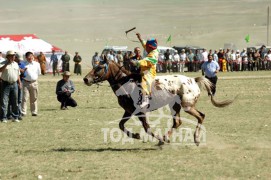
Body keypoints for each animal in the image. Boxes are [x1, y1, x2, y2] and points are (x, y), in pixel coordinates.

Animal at [84, 61, 235, 146]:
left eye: (99, 68)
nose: (86, 79)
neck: (127, 84)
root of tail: (193, 80)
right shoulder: (128, 111)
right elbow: (121, 125)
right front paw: (136, 135)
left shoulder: (140, 112)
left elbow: (147, 128)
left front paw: (158, 139)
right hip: (175, 106)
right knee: (178, 122)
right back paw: (168, 137)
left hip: (187, 106)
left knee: (200, 116)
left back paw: (194, 139)